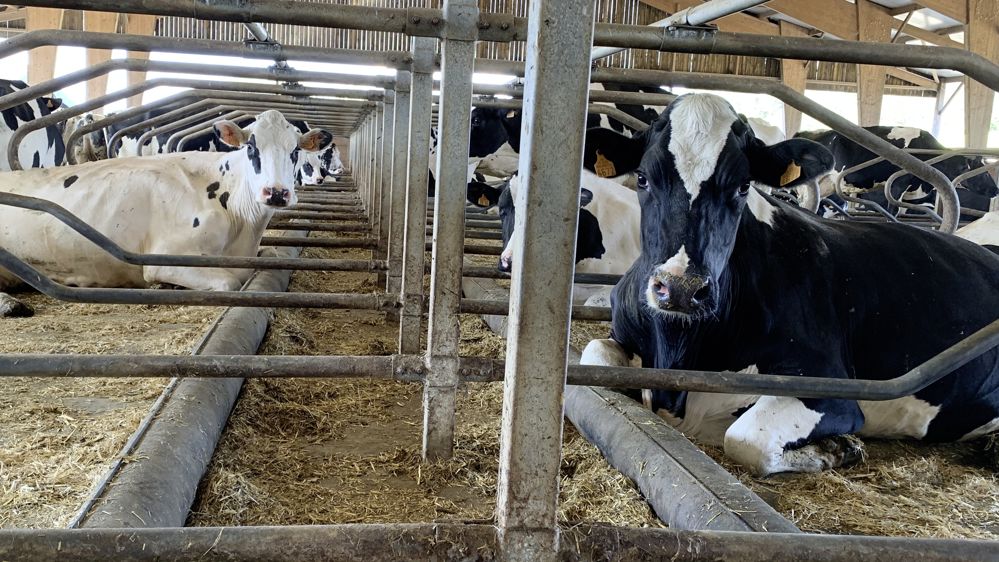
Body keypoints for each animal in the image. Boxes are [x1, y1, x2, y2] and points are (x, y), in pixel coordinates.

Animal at [0, 110, 332, 318]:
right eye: (251, 149)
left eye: (295, 151)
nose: (276, 192)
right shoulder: (165, 258)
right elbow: (228, 282)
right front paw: (166, 286)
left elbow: (273, 254)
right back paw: (10, 305)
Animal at [577, 93, 999, 476]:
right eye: (643, 179)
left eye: (743, 186)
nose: (681, 288)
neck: (677, 350)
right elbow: (594, 354)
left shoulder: (829, 387)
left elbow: (745, 438)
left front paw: (837, 449)